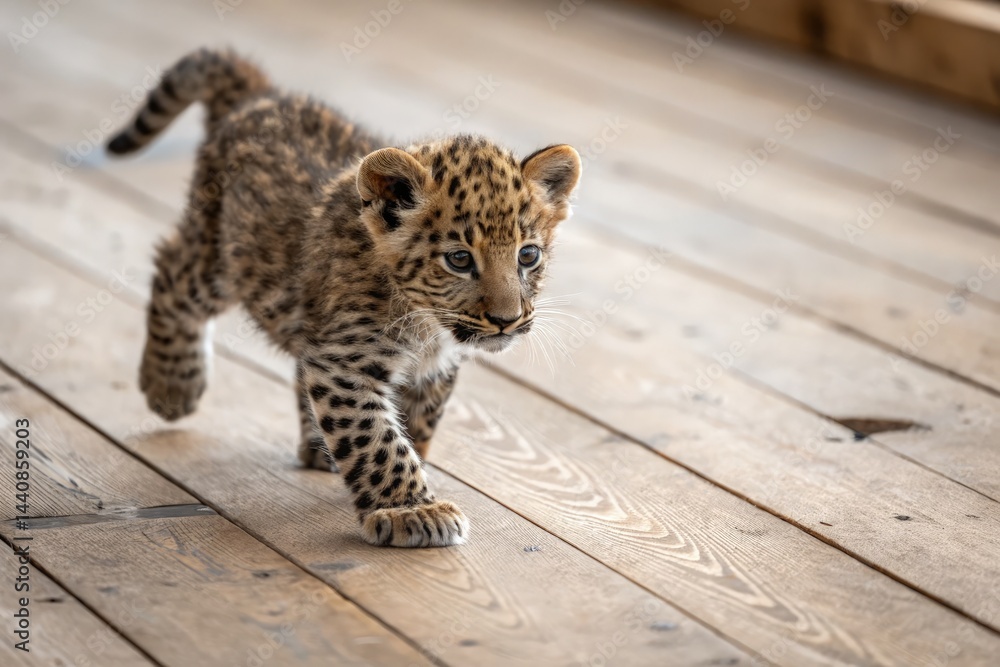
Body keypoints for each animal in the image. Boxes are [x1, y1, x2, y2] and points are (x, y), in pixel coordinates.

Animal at [106, 48, 581, 548]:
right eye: (458, 259)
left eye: (528, 255)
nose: (507, 320)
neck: (424, 321)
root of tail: (265, 95)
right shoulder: (345, 364)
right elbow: (375, 439)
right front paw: (411, 509)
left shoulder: (433, 363)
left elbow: (418, 418)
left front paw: (408, 476)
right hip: (219, 255)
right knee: (172, 271)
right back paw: (172, 386)